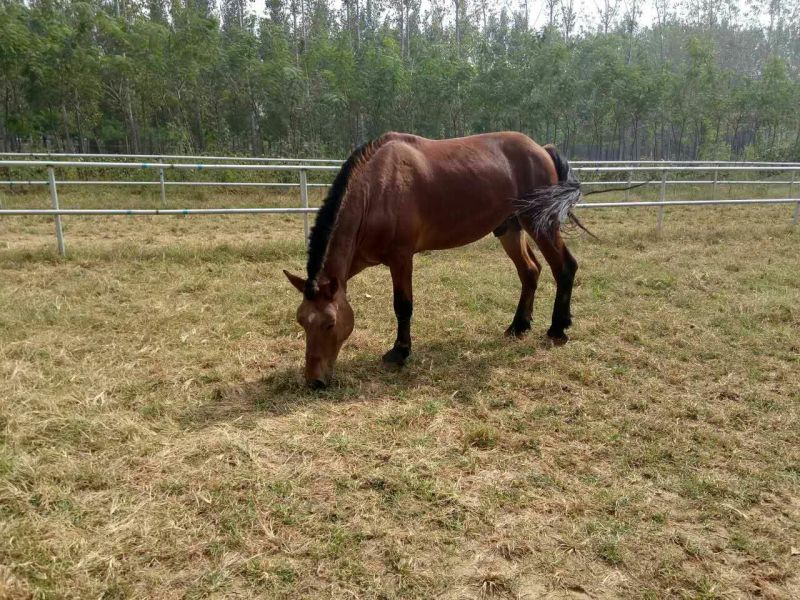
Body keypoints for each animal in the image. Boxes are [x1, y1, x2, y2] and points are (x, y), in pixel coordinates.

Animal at [283, 131, 584, 389]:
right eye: (301, 321)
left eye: (330, 323)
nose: (314, 381)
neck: (377, 189)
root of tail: (541, 149)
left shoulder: (401, 257)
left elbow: (403, 306)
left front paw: (400, 352)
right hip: (510, 228)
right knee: (530, 271)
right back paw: (518, 326)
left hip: (539, 224)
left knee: (564, 267)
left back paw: (558, 328)